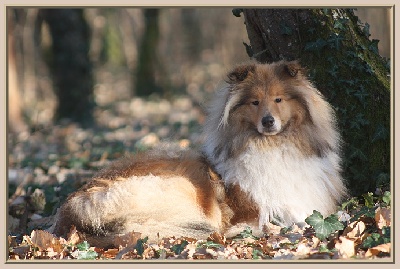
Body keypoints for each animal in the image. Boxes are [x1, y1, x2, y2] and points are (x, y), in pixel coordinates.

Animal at [49, 60, 346, 245]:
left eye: (279, 99)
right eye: (254, 102)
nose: (268, 121)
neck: (272, 146)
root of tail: (68, 213)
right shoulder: (253, 207)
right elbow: (282, 220)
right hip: (177, 189)